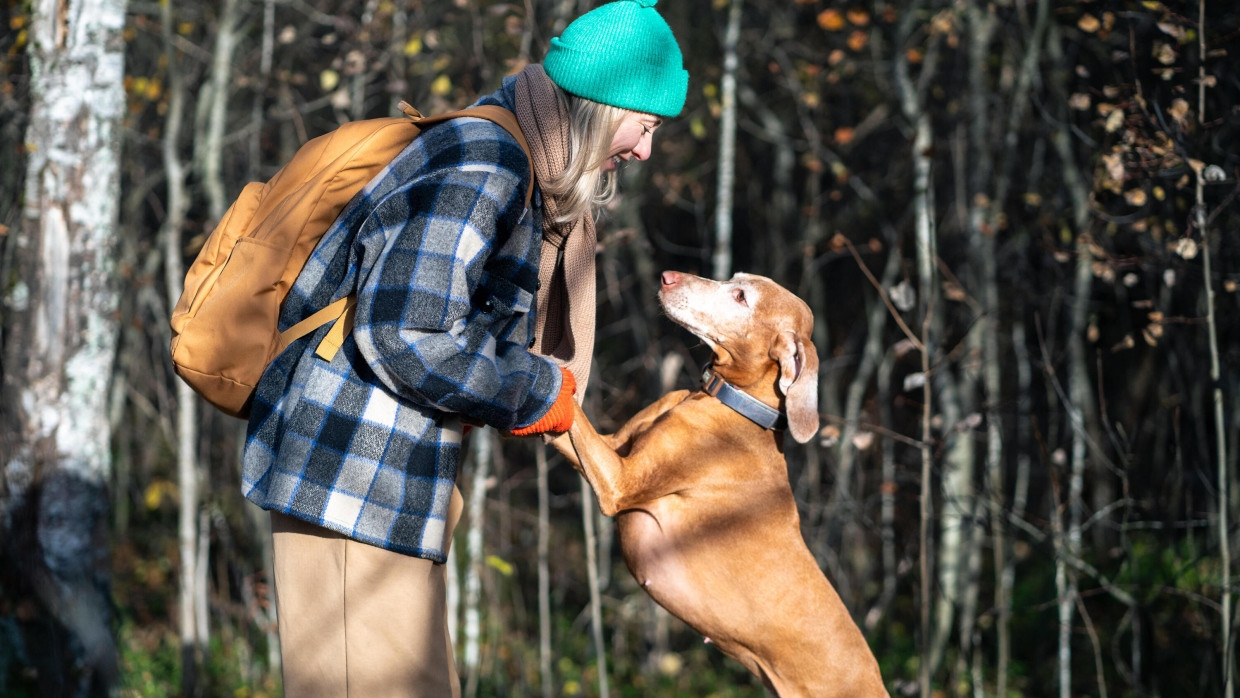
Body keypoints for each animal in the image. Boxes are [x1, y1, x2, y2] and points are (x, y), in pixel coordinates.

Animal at [555, 271, 892, 698]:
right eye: (734, 279)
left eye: (741, 297)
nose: (667, 277)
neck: (732, 403)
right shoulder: (610, 445)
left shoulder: (619, 481)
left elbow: (571, 408)